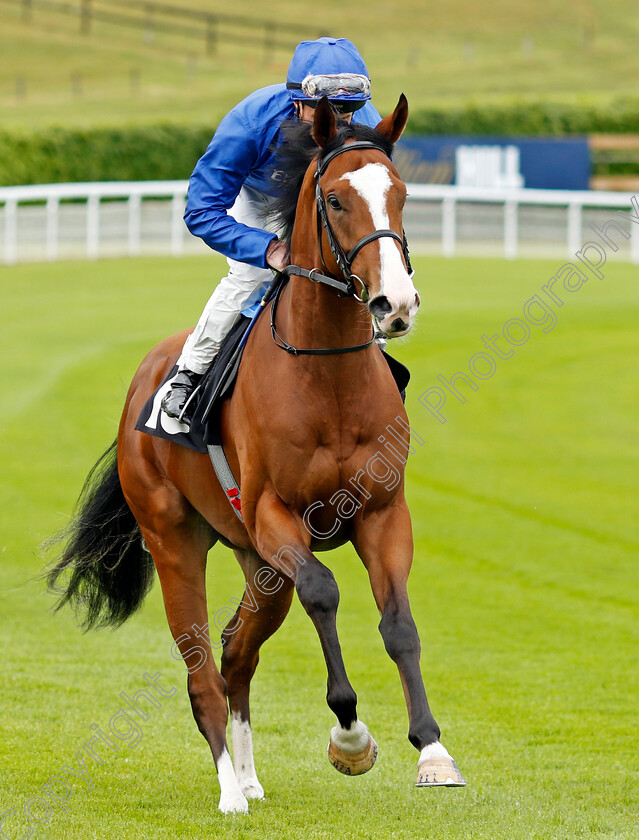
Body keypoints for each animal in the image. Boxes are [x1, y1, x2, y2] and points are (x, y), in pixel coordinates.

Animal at [45, 97, 464, 812]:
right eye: (335, 198)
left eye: (402, 194)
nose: (396, 303)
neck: (328, 379)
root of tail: (140, 384)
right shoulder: (276, 515)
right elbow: (324, 592)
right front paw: (350, 736)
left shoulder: (383, 513)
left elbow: (399, 623)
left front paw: (433, 752)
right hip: (176, 539)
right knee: (201, 667)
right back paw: (228, 790)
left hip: (257, 564)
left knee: (236, 651)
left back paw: (246, 775)